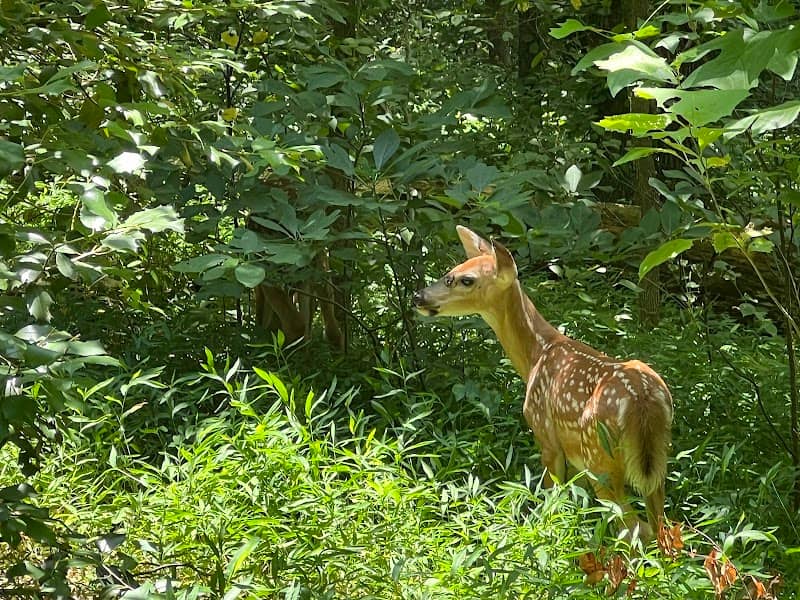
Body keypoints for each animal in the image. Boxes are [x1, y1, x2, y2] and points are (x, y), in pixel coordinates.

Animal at [413, 225, 673, 540]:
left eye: (466, 279)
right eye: (451, 270)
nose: (418, 296)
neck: (536, 355)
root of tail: (642, 400)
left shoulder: (546, 436)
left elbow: (552, 499)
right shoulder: (573, 457)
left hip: (599, 457)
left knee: (635, 527)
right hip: (656, 461)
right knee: (661, 527)